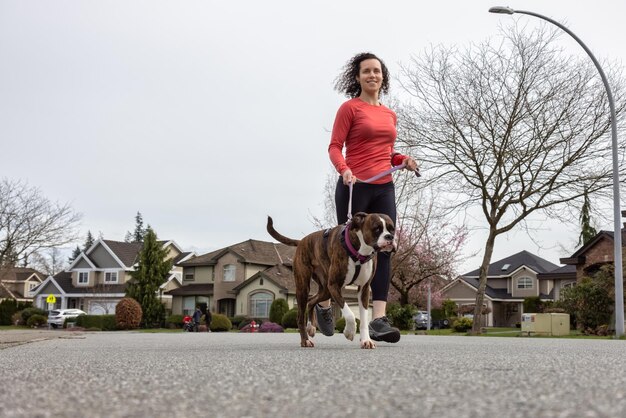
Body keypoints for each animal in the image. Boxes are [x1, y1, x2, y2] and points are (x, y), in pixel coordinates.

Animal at [264, 212, 394, 350]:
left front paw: (366, 340)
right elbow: (349, 314)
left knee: (311, 301)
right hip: (304, 287)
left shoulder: (364, 290)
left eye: (392, 229)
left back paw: (311, 327)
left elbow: (363, 318)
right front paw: (349, 331)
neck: (360, 252)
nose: (390, 237)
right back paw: (305, 340)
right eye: (377, 229)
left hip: (325, 290)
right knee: (300, 316)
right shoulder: (334, 286)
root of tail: (302, 241)